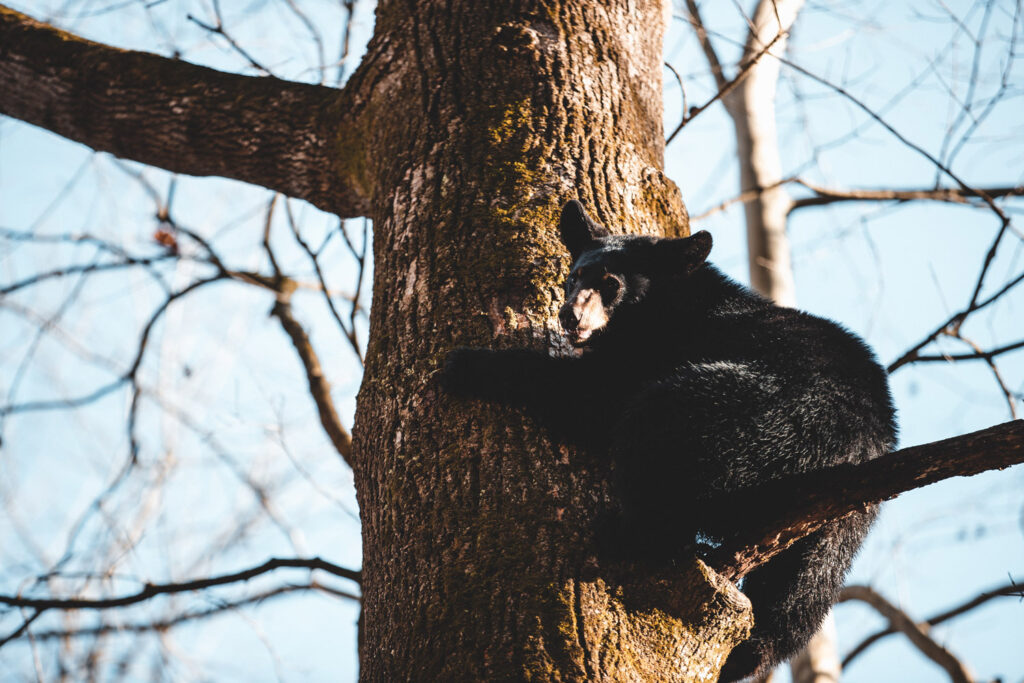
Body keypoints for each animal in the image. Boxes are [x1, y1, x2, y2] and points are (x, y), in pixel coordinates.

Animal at [440, 200, 897, 679]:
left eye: (612, 285)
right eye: (574, 276)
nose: (569, 316)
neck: (666, 304)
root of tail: (860, 446)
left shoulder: (656, 348)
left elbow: (593, 398)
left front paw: (466, 364)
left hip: (754, 419)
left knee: (654, 429)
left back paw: (627, 533)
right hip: (839, 523)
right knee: (800, 592)